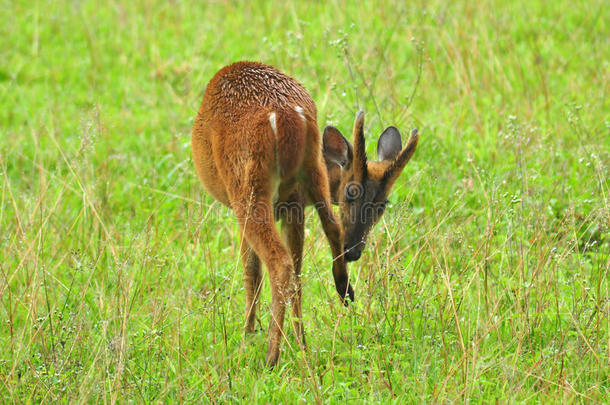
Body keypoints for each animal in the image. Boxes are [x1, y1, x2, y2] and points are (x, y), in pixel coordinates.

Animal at [191, 60, 418, 366]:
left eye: (382, 205)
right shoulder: (295, 206)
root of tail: (287, 115)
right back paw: (333, 303)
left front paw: (248, 334)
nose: (355, 251)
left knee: (280, 263)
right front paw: (297, 341)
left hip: (247, 187)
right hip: (307, 175)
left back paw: (270, 356)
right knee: (325, 235)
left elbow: (251, 270)